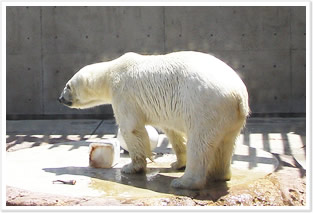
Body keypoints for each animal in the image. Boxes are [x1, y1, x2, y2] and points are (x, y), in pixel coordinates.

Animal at [58, 51, 249, 190]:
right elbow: (172, 132)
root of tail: (238, 95)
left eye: (68, 85)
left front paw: (132, 167)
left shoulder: (124, 93)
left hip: (205, 106)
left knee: (200, 142)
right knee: (225, 143)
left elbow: (131, 128)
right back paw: (218, 174)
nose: (60, 98)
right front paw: (178, 162)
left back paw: (184, 182)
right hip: (230, 117)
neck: (112, 71)